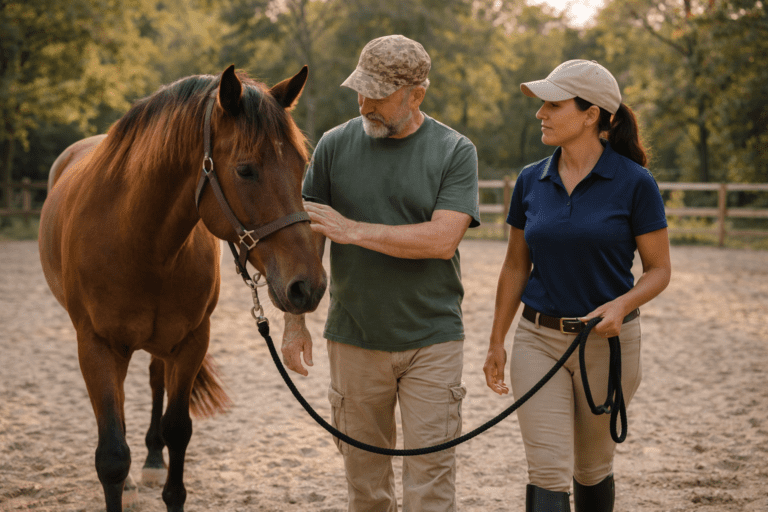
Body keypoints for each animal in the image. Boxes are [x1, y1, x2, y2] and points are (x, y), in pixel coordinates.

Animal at [38, 65, 327, 512]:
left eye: (301, 164)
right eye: (245, 169)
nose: (307, 286)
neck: (138, 240)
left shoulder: (191, 342)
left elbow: (178, 430)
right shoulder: (96, 346)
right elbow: (112, 455)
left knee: (156, 381)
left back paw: (153, 460)